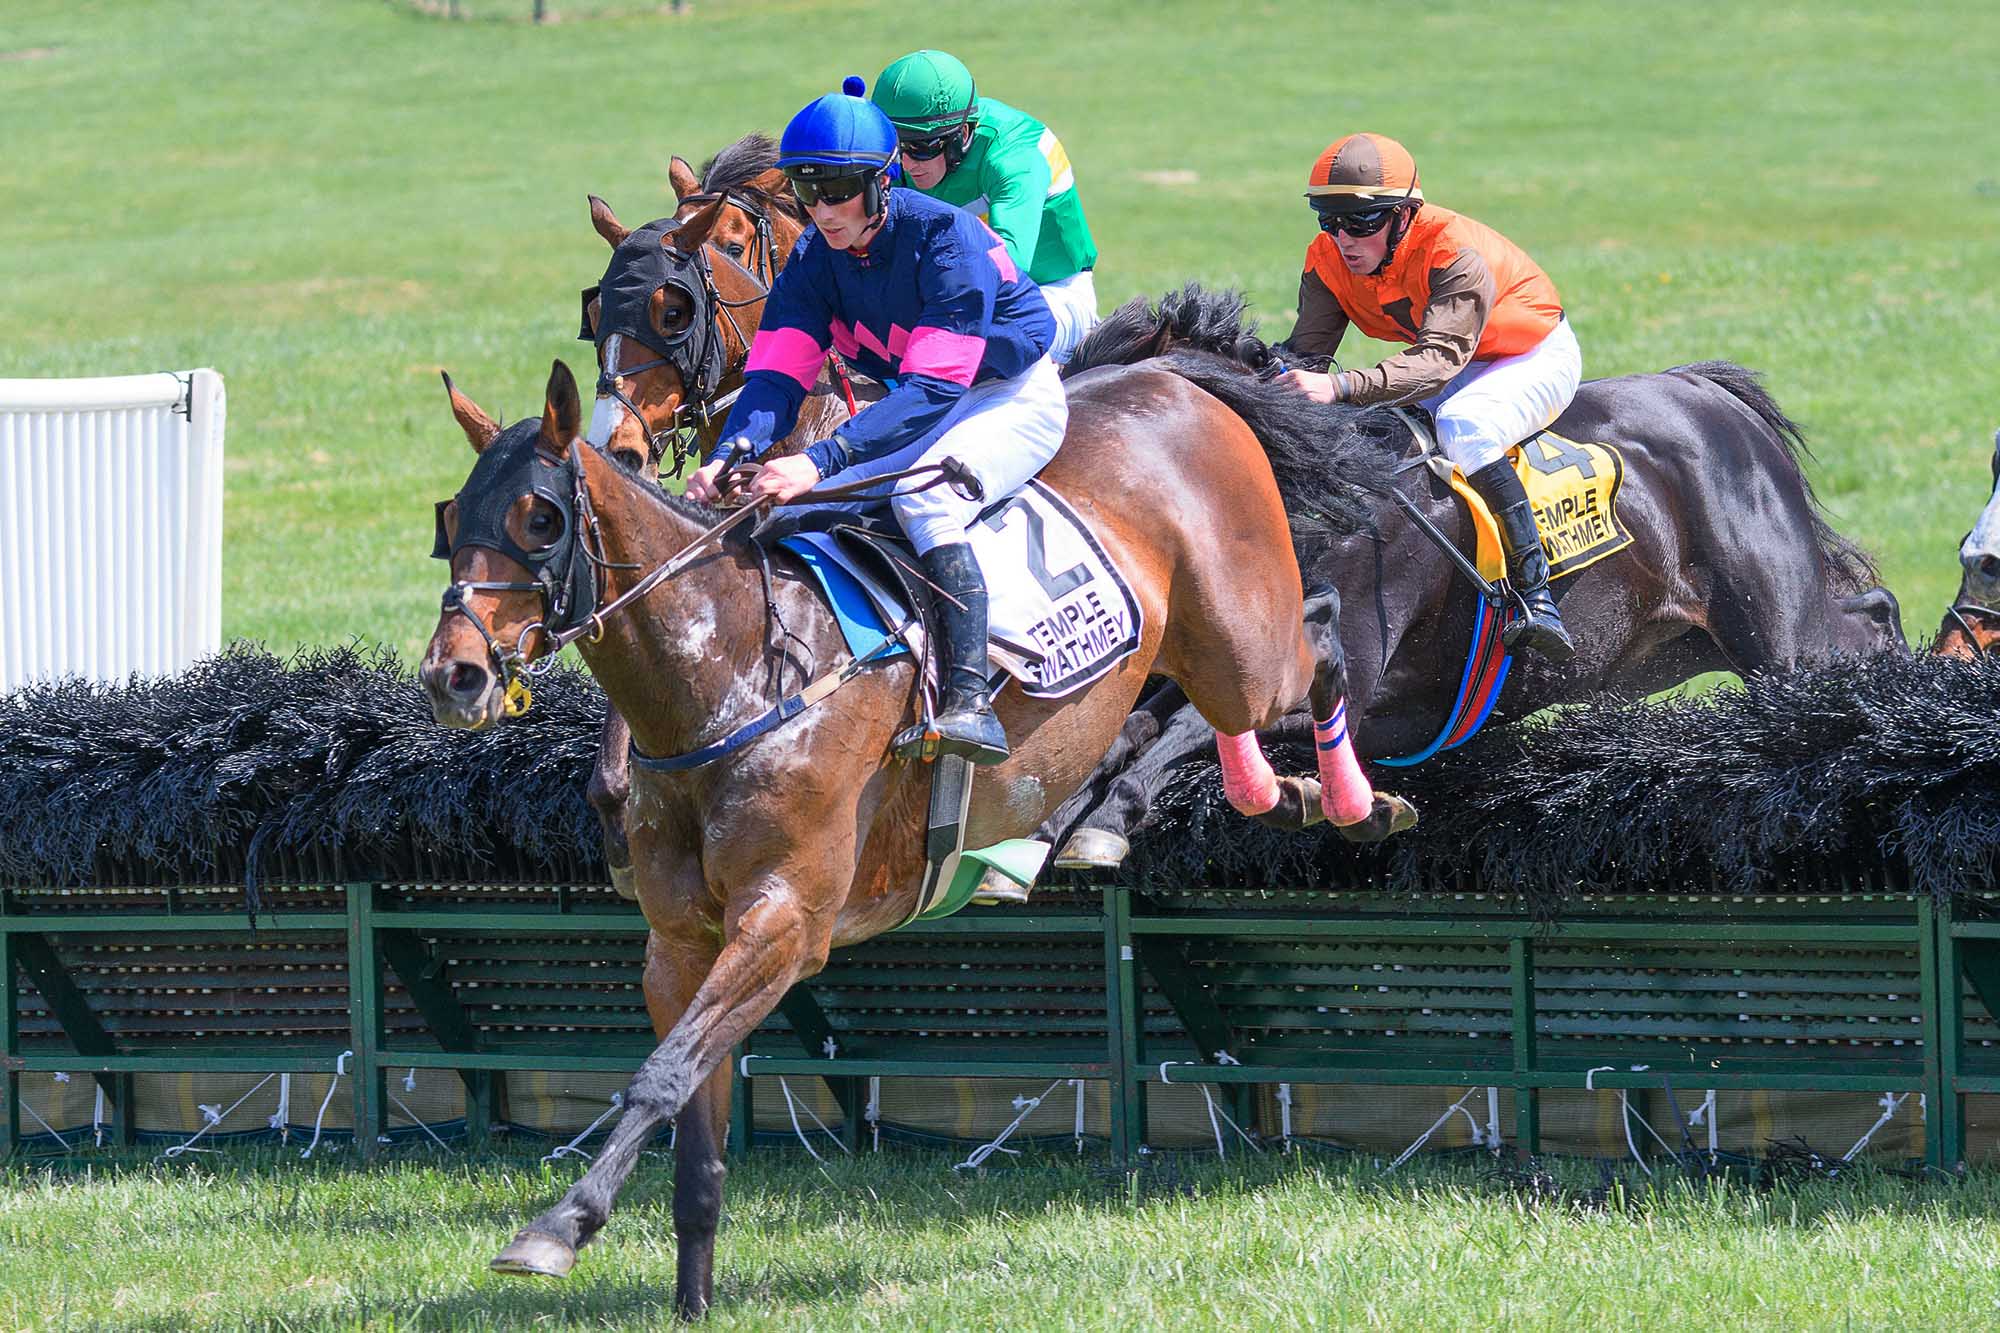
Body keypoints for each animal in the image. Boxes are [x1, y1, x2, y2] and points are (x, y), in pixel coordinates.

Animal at [414, 348, 1400, 1312]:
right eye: (452, 516)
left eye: (540, 517)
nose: (453, 675)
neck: (734, 676)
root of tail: (1174, 378)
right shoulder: (680, 943)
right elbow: (693, 1115)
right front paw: (690, 1296)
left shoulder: (786, 921)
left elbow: (660, 1073)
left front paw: (558, 1224)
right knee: (1191, 700)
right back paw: (1201, 807)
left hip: (1243, 645)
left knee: (1317, 632)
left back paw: (1349, 799)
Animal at [1048, 288, 1904, 860]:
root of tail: (1706, 390)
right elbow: (1137, 728)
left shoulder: (1344, 678)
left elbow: (1175, 737)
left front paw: (1106, 822)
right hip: (1675, 646)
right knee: (1864, 605)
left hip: (1773, 630)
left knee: (1861, 622)